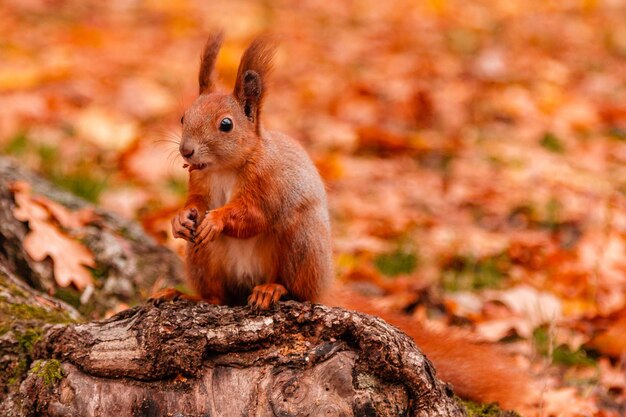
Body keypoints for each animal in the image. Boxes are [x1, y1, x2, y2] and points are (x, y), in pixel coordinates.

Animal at [165, 31, 532, 410]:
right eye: (183, 117)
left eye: (226, 124)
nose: (186, 151)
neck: (225, 168)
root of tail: (325, 284)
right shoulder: (200, 181)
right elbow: (195, 203)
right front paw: (181, 219)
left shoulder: (270, 184)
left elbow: (253, 216)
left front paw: (216, 221)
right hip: (203, 259)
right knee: (218, 295)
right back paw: (193, 297)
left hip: (301, 242)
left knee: (300, 291)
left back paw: (272, 289)